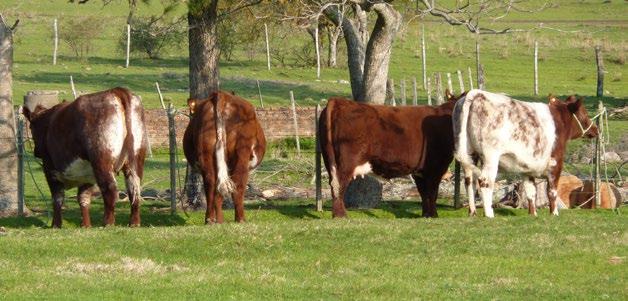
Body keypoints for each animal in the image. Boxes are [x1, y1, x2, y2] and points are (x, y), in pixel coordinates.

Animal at [23, 86, 148, 227]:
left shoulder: (50, 169)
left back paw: (108, 223)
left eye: (31, 127)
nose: (35, 152)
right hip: (135, 159)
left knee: (110, 189)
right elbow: (84, 198)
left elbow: (57, 198)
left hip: (101, 159)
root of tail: (116, 91)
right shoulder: (87, 174)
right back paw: (134, 223)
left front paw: (56, 225)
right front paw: (86, 225)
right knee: (134, 189)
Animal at [184, 90, 268, 221]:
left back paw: (211, 220)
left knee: (211, 184)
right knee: (238, 184)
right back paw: (240, 219)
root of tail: (221, 94)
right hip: (242, 151)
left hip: (206, 152)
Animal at [318, 90, 462, 217]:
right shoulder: (436, 167)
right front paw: (433, 215)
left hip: (329, 160)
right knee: (339, 184)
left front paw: (426, 214)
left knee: (334, 184)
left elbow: (424, 193)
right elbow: (432, 193)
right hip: (346, 162)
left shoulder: (420, 170)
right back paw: (340, 215)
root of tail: (338, 102)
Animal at [452, 90, 600, 217]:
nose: (596, 129)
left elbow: (531, 192)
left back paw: (472, 212)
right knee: (485, 181)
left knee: (469, 181)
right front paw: (554, 213)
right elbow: (552, 191)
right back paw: (489, 214)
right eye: (584, 113)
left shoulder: (527, 169)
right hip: (490, 156)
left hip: (470, 153)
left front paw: (533, 214)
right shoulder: (555, 163)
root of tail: (477, 93)